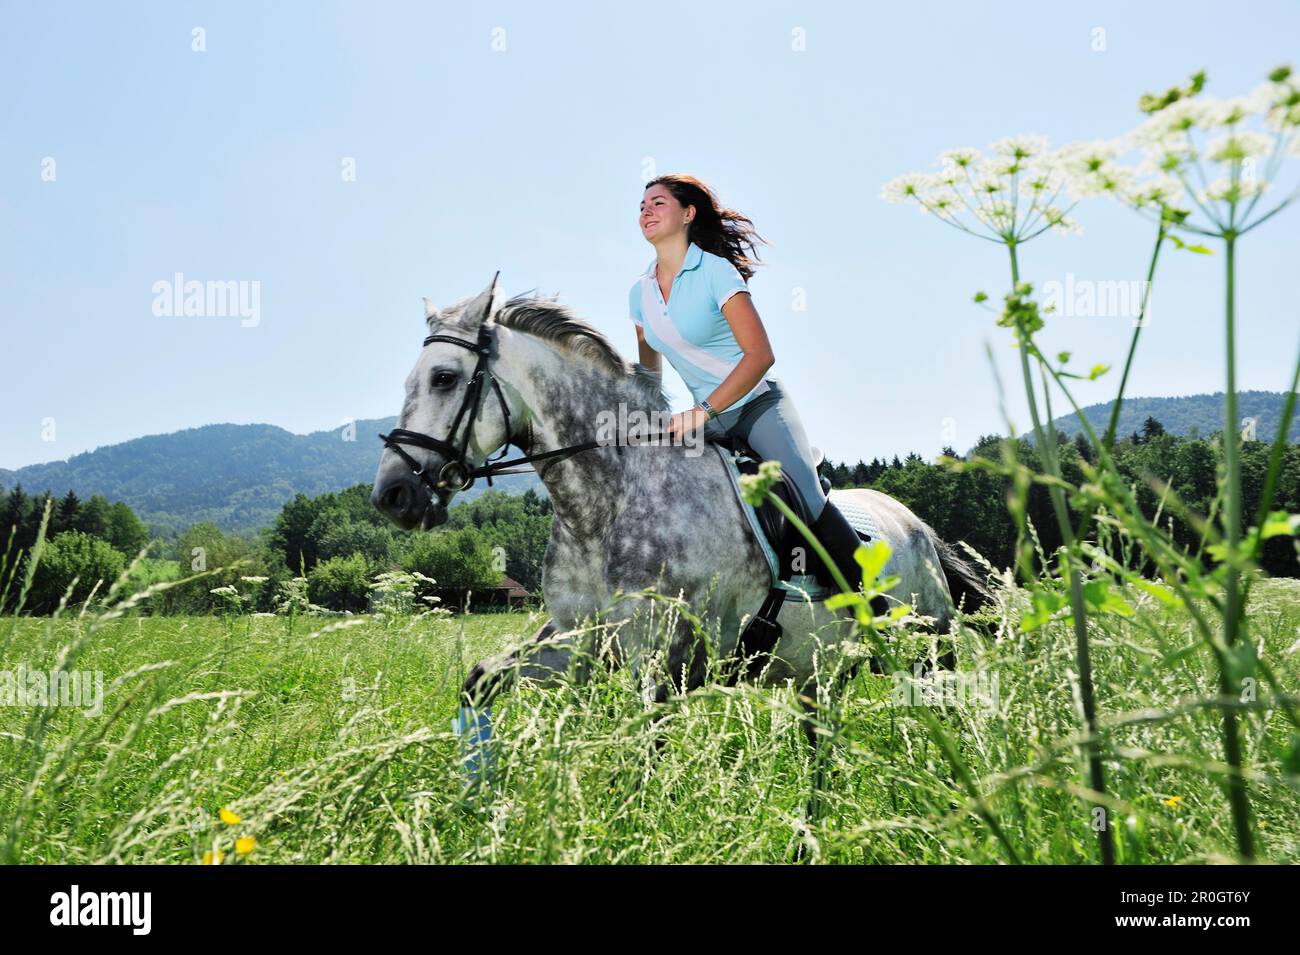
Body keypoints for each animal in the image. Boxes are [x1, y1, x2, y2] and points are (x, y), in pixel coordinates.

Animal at [371, 276, 992, 764]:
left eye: (444, 378)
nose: (392, 495)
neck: (605, 504)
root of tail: (919, 527)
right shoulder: (577, 644)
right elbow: (480, 681)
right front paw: (476, 794)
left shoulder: (665, 663)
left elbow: (644, 764)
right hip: (821, 672)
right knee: (821, 751)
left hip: (930, 653)